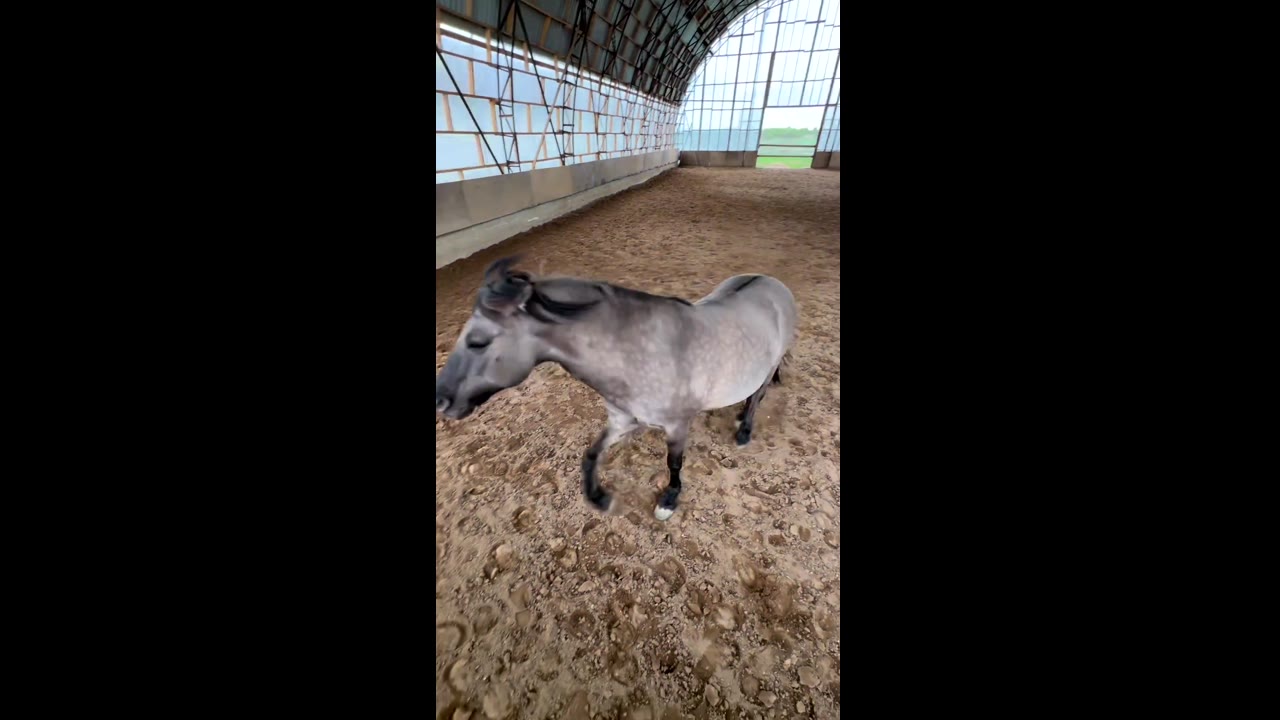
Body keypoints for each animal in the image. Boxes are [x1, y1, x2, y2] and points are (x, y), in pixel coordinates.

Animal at [435, 257, 797, 521]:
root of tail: (772, 283)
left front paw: (669, 500)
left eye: (478, 341)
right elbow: (592, 454)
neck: (639, 352)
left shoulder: (678, 425)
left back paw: (744, 430)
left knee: (758, 396)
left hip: (768, 368)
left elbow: (674, 463)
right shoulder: (624, 420)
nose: (440, 400)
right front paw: (599, 497)